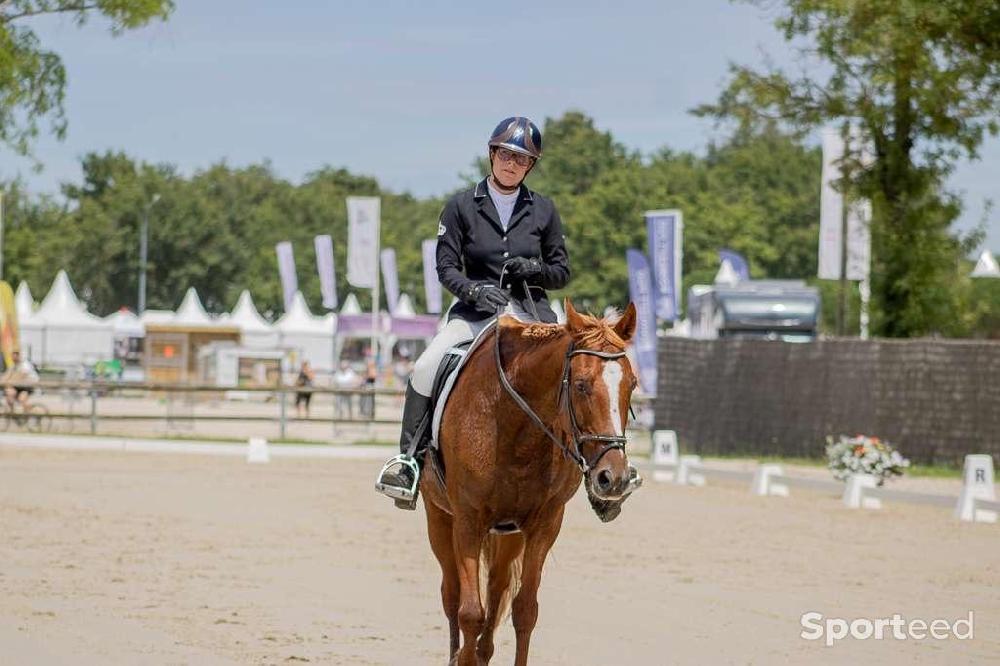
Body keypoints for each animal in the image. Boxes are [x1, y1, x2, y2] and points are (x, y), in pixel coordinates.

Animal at [418, 298, 636, 660]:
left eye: (631, 384)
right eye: (581, 385)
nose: (613, 478)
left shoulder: (544, 524)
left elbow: (524, 611)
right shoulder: (467, 520)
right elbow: (470, 613)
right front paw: (463, 657)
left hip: (509, 534)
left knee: (496, 588)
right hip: (439, 517)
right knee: (452, 595)